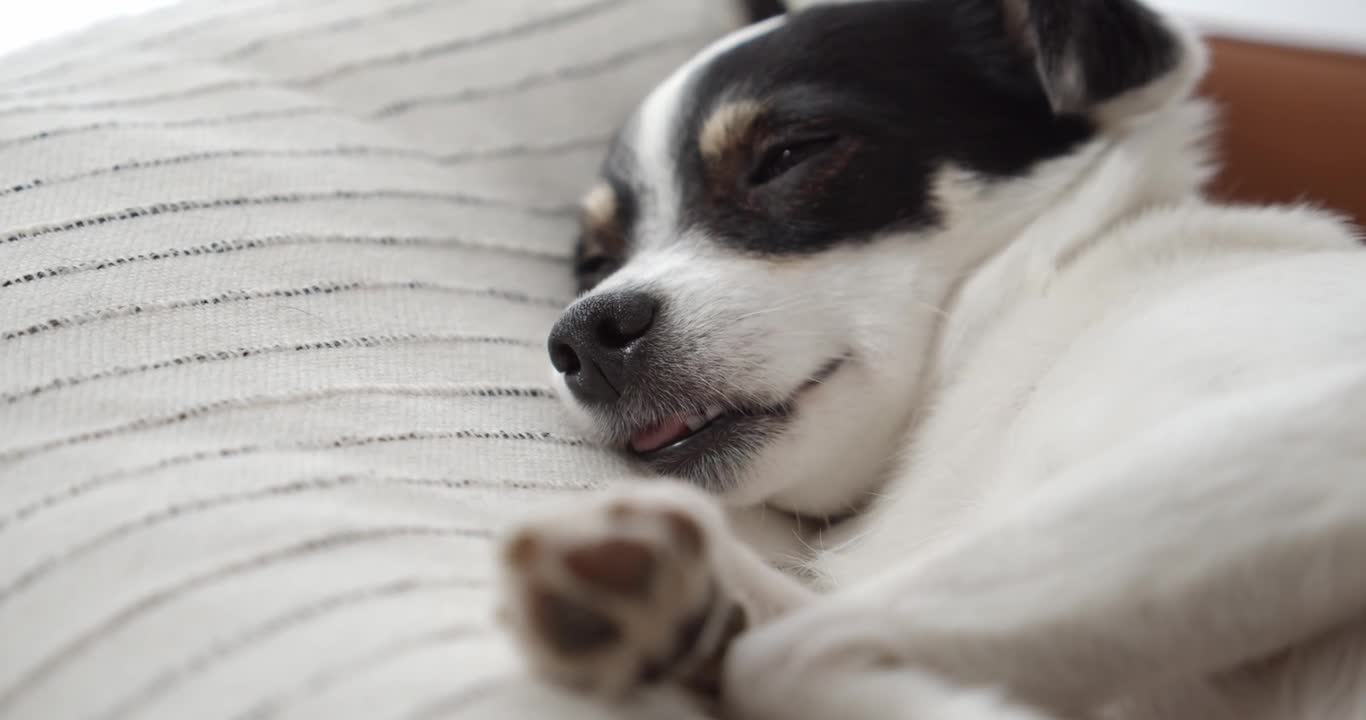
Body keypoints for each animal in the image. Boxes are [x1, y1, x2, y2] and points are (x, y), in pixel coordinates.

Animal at [497, 2, 1366, 715]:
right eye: (593, 263)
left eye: (787, 156)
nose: (584, 336)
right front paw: (695, 604)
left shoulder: (1310, 444)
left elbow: (790, 656)